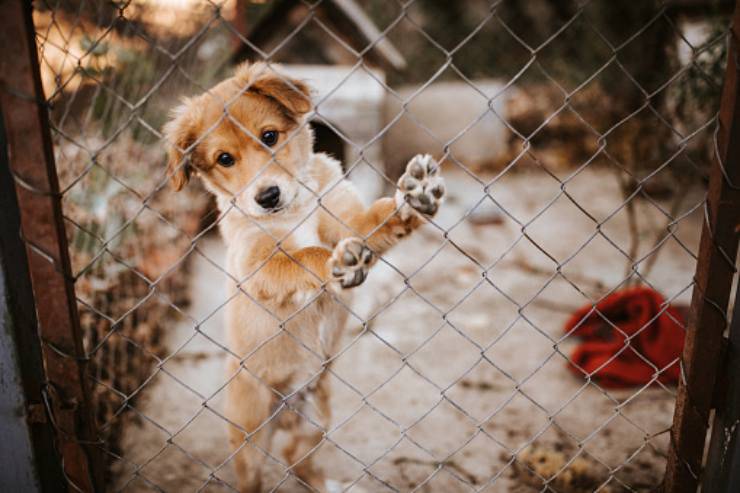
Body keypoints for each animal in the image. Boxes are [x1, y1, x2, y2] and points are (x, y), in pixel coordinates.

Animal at [165, 63, 446, 490]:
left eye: (269, 136)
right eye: (224, 158)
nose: (267, 197)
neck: (297, 206)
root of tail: (287, 407)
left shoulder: (350, 222)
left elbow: (379, 217)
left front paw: (414, 196)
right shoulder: (258, 262)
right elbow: (302, 257)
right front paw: (335, 263)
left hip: (316, 421)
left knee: (297, 460)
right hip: (250, 435)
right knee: (255, 475)